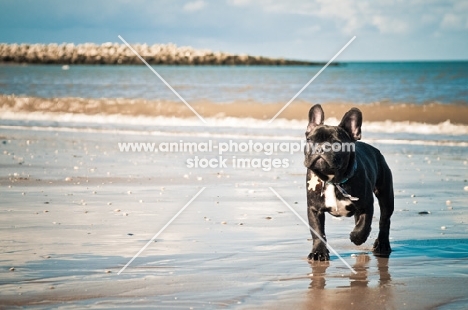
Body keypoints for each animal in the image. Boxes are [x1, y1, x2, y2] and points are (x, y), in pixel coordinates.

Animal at [306, 104, 394, 262]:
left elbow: (364, 225)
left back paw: (382, 244)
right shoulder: (314, 209)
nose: (321, 147)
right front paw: (318, 252)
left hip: (385, 194)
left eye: (336, 144)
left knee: (385, 220)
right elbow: (317, 231)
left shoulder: (366, 204)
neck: (333, 181)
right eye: (310, 140)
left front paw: (357, 237)